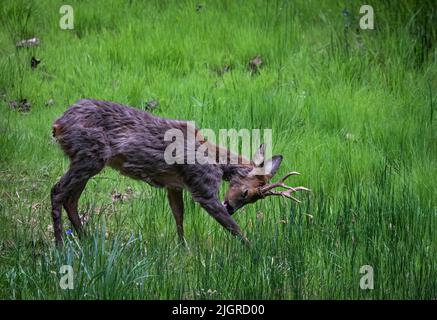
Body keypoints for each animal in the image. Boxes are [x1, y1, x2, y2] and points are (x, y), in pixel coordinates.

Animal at [51, 99, 308, 246]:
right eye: (247, 193)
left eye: (254, 200)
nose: (231, 208)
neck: (216, 161)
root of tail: (57, 124)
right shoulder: (202, 186)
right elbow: (233, 228)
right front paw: (255, 253)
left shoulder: (174, 184)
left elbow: (178, 215)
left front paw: (183, 248)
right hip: (89, 155)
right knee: (57, 191)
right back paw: (61, 246)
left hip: (87, 160)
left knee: (71, 199)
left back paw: (86, 241)